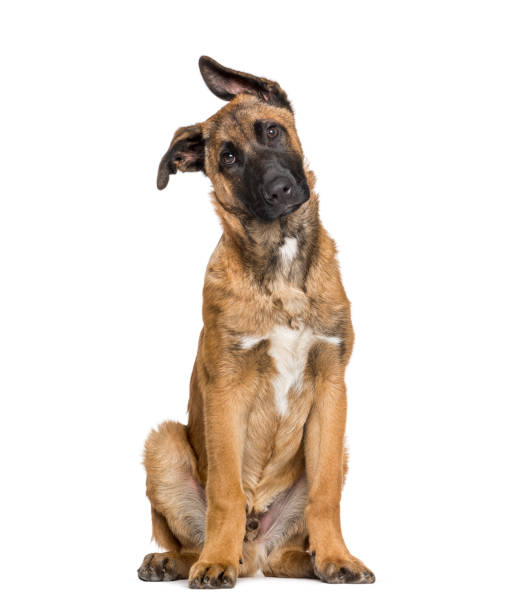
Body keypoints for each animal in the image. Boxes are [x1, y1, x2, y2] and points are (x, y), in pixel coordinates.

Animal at [138, 56, 374, 588]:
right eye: (227, 157)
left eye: (271, 130)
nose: (279, 190)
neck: (280, 263)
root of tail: (256, 550)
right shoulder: (227, 387)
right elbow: (225, 490)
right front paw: (214, 563)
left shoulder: (332, 386)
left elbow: (326, 492)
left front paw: (337, 556)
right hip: (164, 442)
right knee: (194, 536)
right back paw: (184, 560)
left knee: (286, 549)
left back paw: (311, 560)